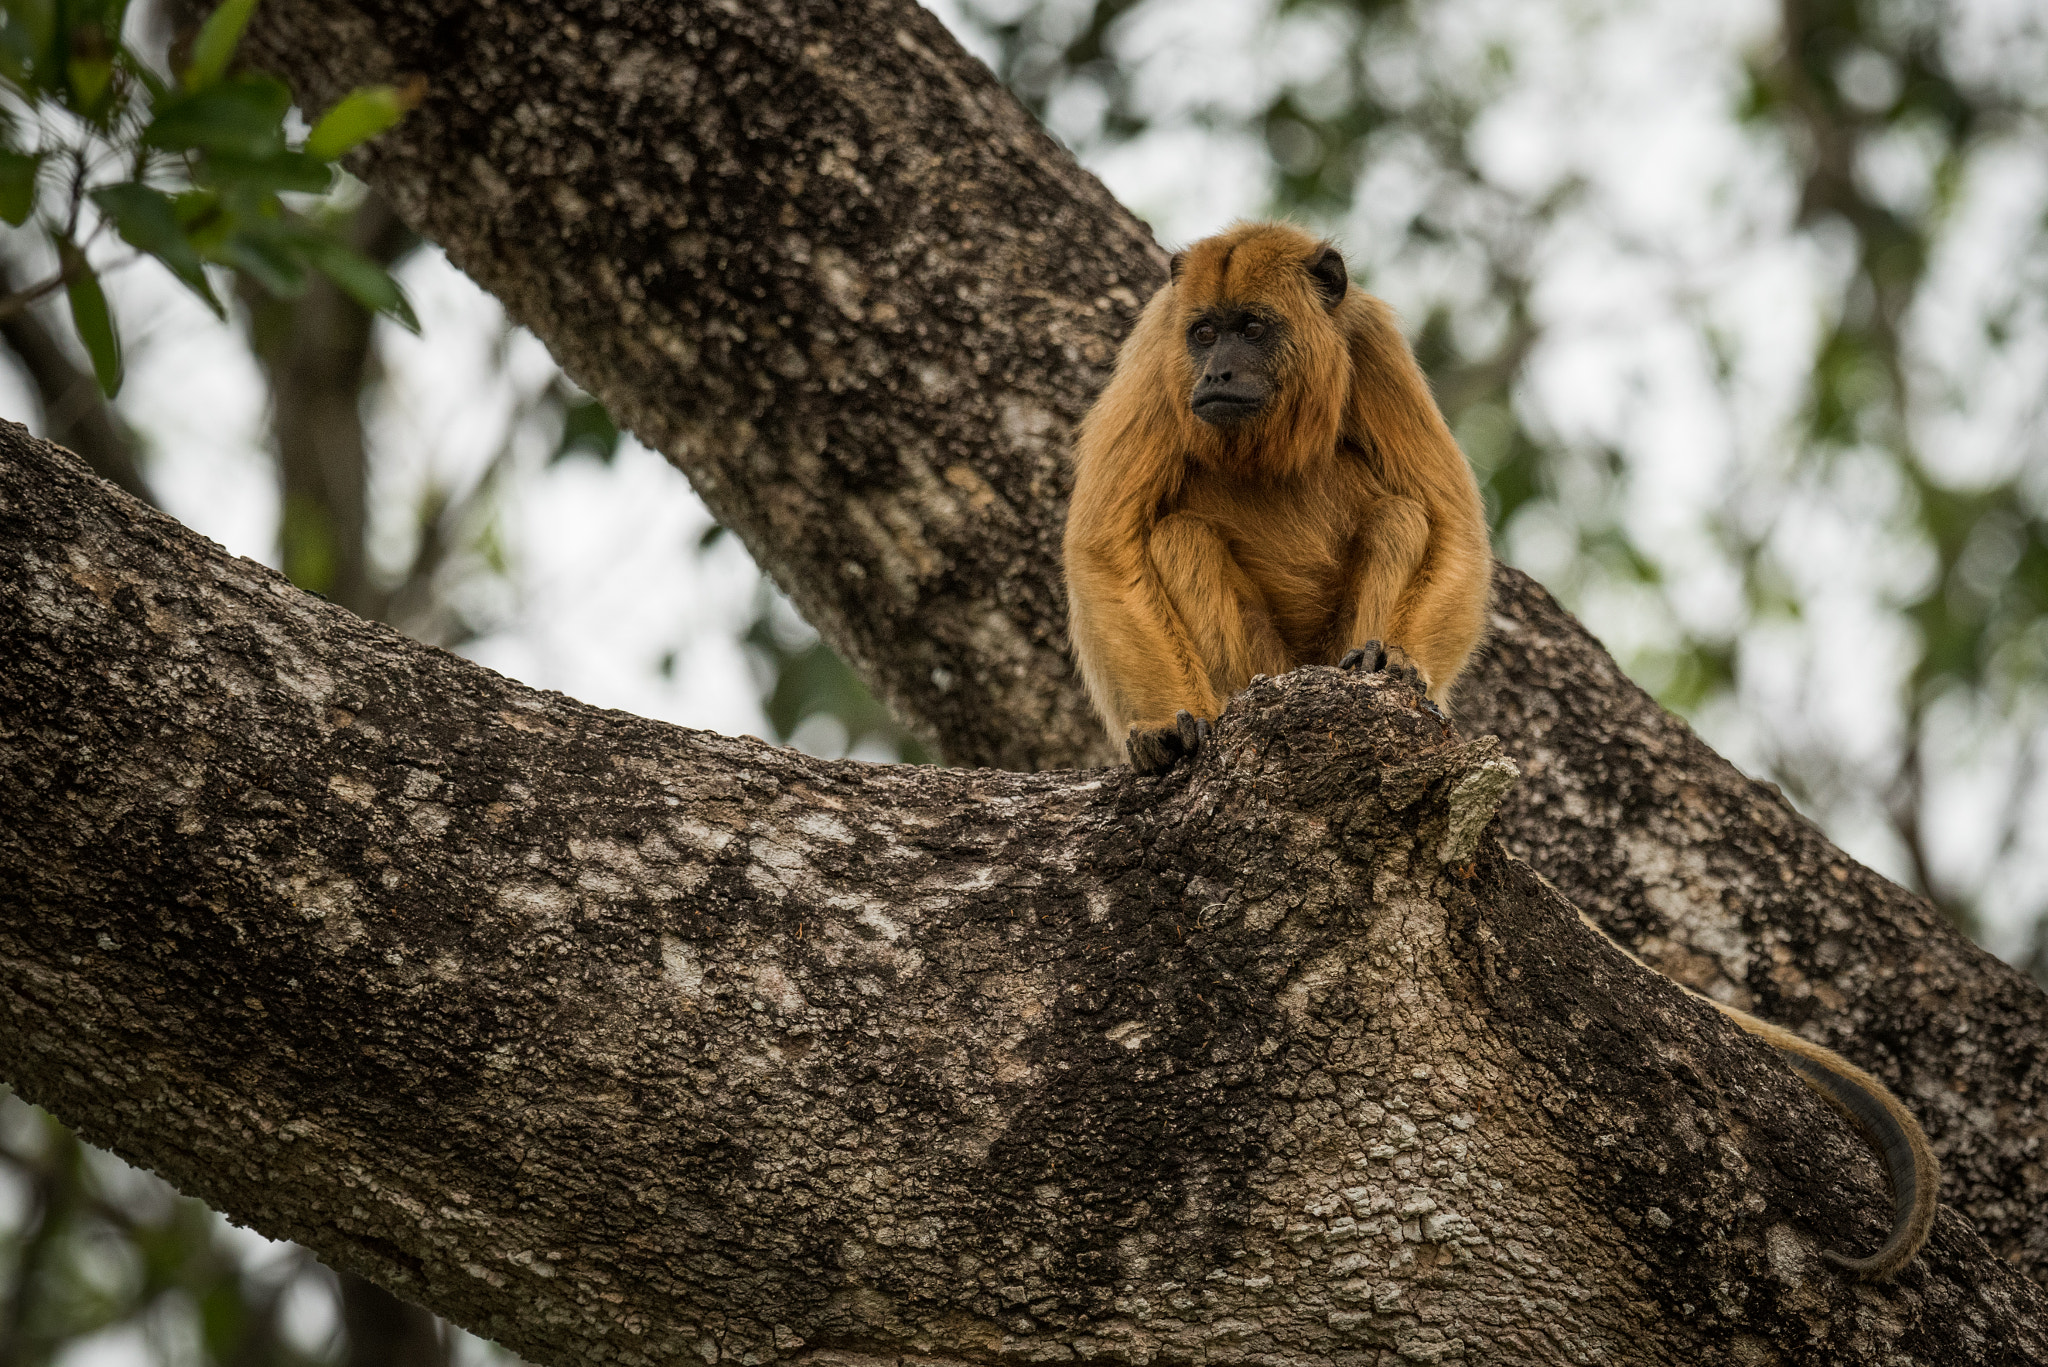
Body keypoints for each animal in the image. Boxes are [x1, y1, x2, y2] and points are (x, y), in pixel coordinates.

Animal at [1064, 219, 1941, 1278]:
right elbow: (1108, 544)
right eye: (1202, 332)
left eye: (1252, 329)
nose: (1221, 369)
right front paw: (1164, 739)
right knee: (1180, 529)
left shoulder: (1373, 344)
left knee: (1397, 511)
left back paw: (1376, 672)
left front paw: (1401, 669)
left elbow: (1447, 525)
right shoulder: (1153, 355)